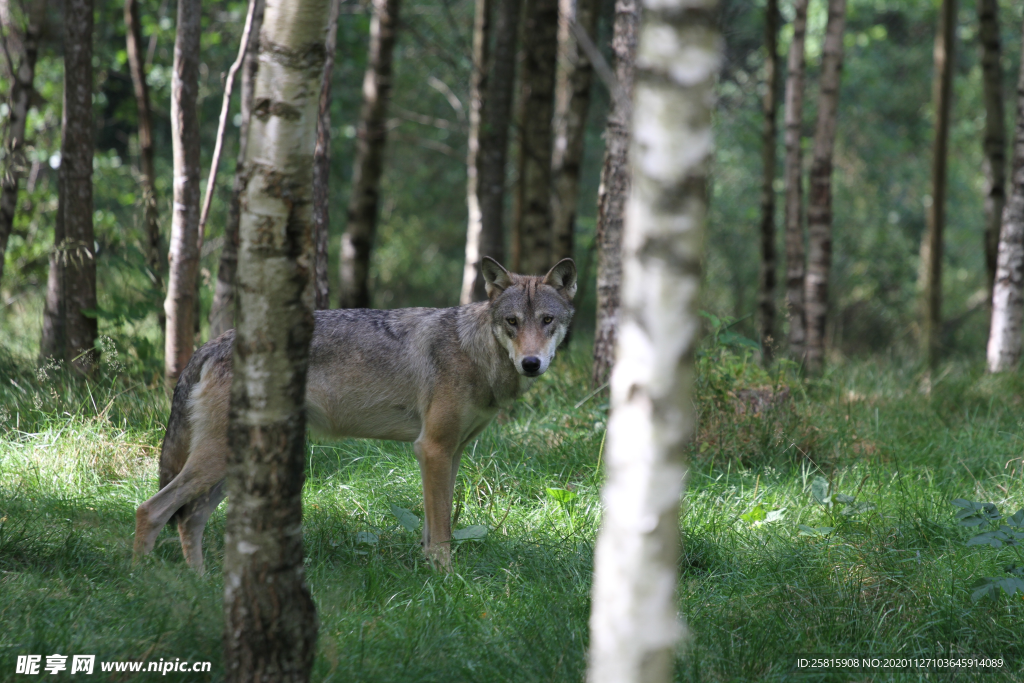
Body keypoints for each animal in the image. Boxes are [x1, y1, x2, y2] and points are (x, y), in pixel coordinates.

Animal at [134, 258, 577, 573]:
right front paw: (447, 581)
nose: (531, 363)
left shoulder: (451, 455)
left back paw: (201, 586)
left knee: (188, 520)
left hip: (230, 468)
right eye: (512, 322)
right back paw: (141, 580)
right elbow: (441, 532)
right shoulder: (432, 449)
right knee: (151, 510)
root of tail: (213, 344)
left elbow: (435, 526)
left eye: (547, 321)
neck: (476, 352)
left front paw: (430, 576)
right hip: (216, 461)